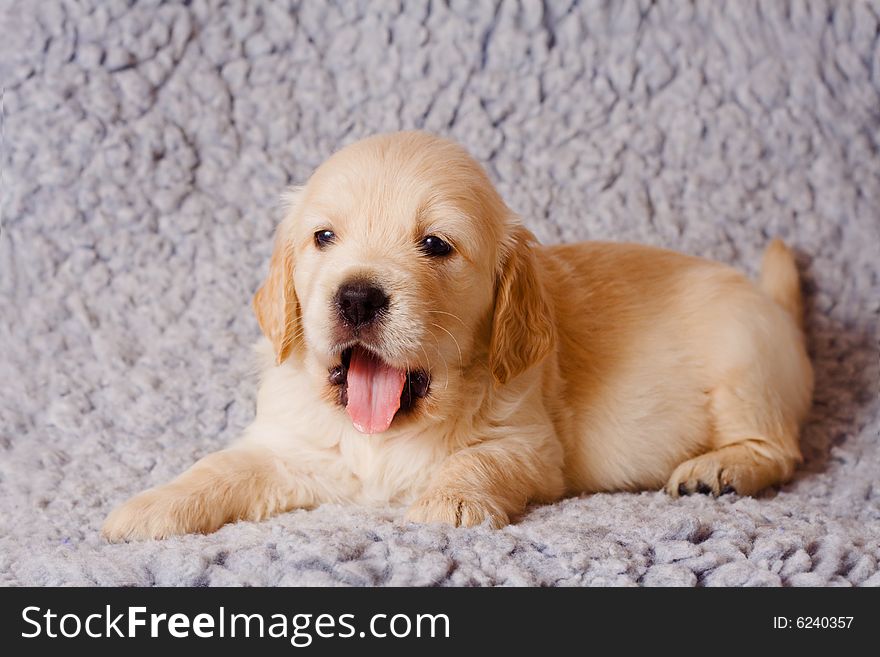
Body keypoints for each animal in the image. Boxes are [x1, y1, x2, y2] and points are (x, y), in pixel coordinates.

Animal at [101, 129, 812, 540]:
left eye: (436, 245)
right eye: (323, 237)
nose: (356, 295)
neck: (387, 431)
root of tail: (774, 304)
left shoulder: (530, 444)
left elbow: (477, 457)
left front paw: (452, 501)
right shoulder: (292, 448)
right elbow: (219, 467)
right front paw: (149, 507)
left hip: (748, 362)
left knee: (780, 450)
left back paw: (719, 468)